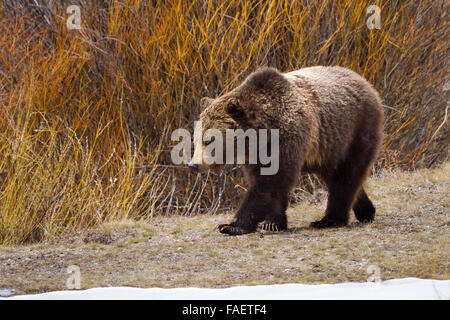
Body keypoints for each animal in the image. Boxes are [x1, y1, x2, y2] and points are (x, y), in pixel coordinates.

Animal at [189, 66, 384, 235]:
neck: (262, 132)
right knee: (336, 174)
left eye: (209, 140)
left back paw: (329, 220)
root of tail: (366, 83)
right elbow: (268, 183)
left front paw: (231, 225)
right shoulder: (256, 154)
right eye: (196, 140)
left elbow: (271, 181)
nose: (194, 165)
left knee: (347, 174)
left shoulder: (286, 138)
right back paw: (366, 211)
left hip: (355, 130)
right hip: (329, 146)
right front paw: (272, 223)